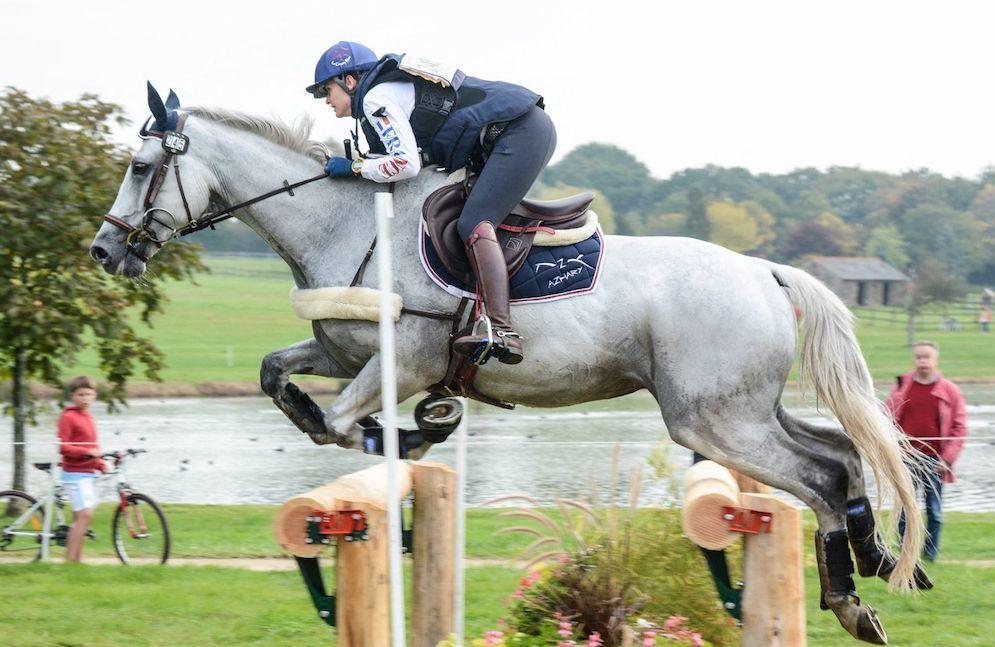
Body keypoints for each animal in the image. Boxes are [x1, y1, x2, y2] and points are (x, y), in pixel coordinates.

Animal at [89, 97, 928, 644]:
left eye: (140, 165)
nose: (103, 250)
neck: (346, 224)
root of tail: (764, 270)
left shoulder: (404, 357)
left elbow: (339, 423)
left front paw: (423, 427)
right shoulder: (343, 351)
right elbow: (280, 380)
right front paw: (416, 427)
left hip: (709, 417)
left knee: (819, 476)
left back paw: (851, 597)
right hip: (745, 408)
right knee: (841, 454)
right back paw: (877, 559)